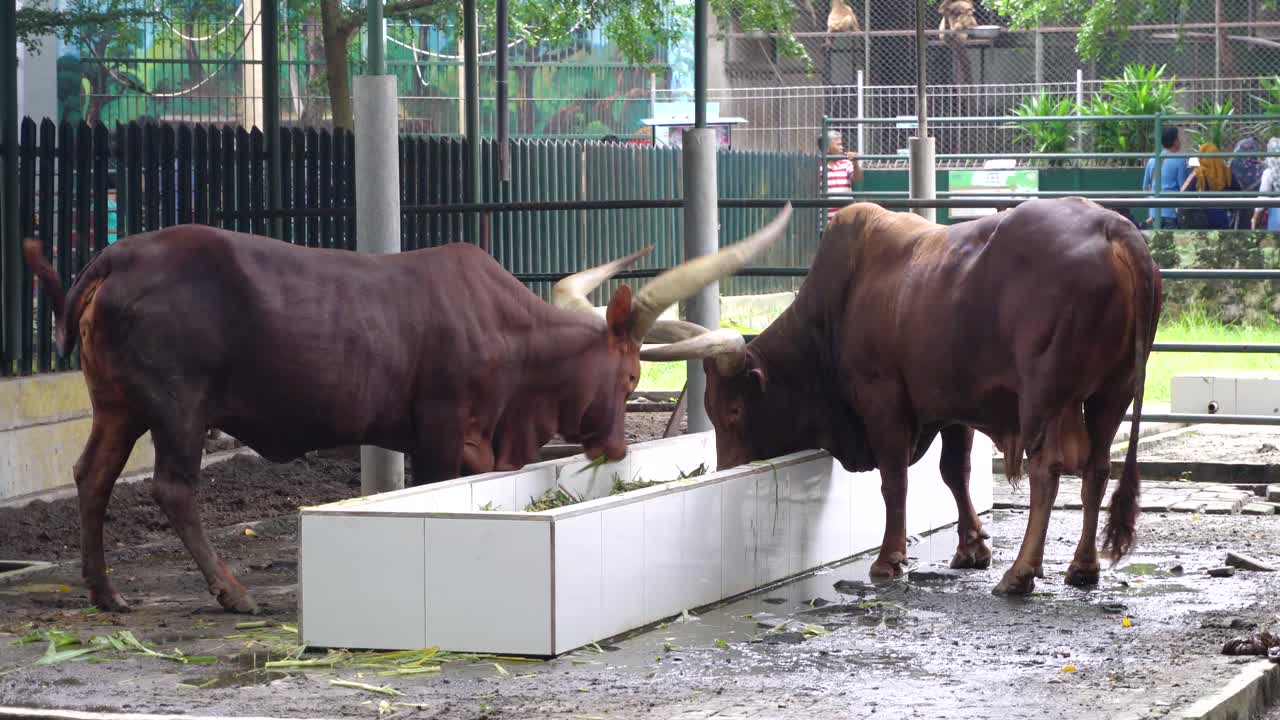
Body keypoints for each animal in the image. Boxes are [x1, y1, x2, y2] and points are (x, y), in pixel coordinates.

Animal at [21, 202, 792, 614]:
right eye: (631, 375)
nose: (617, 448)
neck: (512, 339)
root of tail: (116, 258)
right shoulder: (440, 434)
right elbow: (437, 489)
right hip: (179, 406)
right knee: (175, 488)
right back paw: (232, 591)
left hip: (117, 404)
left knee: (93, 477)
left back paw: (106, 593)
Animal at [640, 198, 1162, 595]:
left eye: (732, 411)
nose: (727, 470)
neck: (834, 311)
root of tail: (1114, 229)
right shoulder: (955, 405)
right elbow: (954, 473)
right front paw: (972, 546)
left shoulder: (883, 400)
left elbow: (894, 482)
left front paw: (889, 557)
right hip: (1111, 393)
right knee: (1097, 469)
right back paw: (1083, 567)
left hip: (1047, 397)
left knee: (1047, 472)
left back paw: (1020, 573)